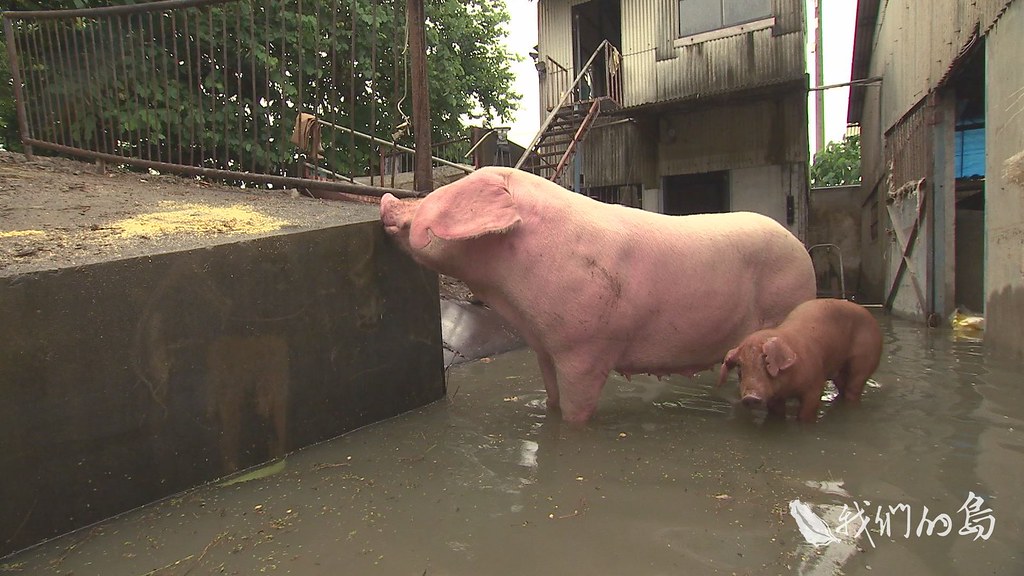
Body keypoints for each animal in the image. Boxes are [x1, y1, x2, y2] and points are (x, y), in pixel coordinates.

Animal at [378, 166, 815, 422]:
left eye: (450, 189)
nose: (386, 198)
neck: (512, 295)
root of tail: (802, 250)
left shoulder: (585, 350)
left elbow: (576, 412)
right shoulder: (545, 346)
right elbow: (551, 398)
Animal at [716, 297, 884, 420]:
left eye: (766, 361)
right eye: (740, 367)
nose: (750, 397)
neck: (789, 386)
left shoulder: (815, 386)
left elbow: (806, 413)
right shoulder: (775, 397)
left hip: (865, 359)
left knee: (854, 387)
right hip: (839, 371)